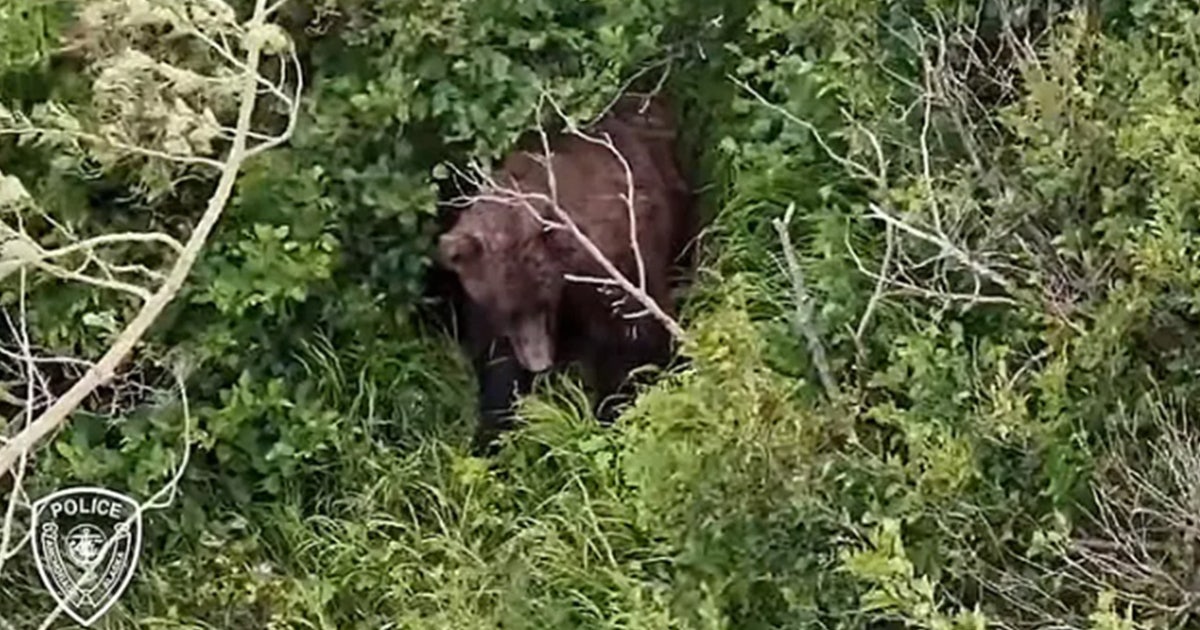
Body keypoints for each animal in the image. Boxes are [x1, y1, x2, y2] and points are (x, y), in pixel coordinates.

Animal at [438, 94, 695, 452]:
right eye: (506, 310)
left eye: (542, 301)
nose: (539, 362)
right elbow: (496, 364)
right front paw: (491, 432)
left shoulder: (609, 265)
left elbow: (632, 339)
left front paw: (611, 411)